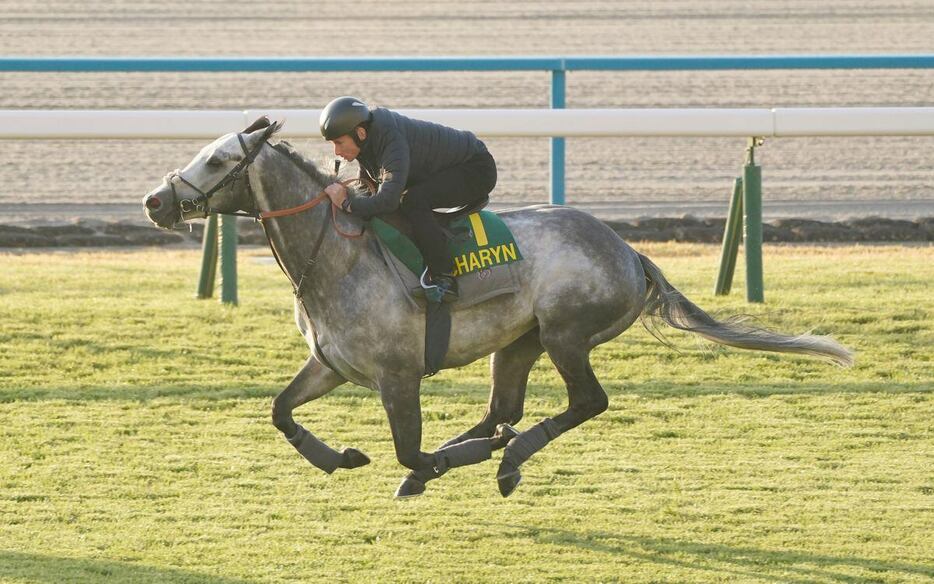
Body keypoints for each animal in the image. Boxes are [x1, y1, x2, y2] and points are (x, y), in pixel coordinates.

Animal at [144, 117, 856, 498]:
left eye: (218, 159)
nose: (154, 201)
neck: (336, 259)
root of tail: (630, 253)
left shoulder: (397, 375)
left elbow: (408, 450)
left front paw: (427, 465)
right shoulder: (332, 365)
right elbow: (281, 411)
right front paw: (341, 457)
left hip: (567, 334)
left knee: (584, 403)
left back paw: (506, 458)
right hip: (519, 342)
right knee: (501, 410)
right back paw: (490, 447)